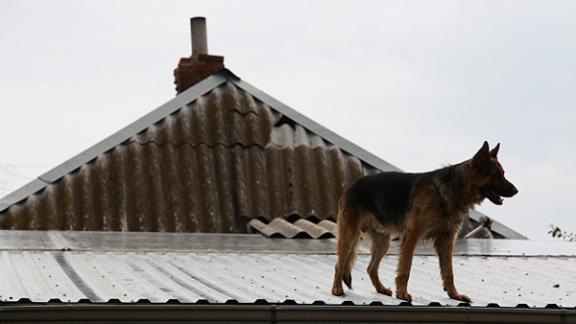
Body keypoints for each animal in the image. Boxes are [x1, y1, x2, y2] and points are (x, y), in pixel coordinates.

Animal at [330, 140, 520, 302]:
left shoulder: (446, 241)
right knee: (339, 265)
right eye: (497, 174)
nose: (516, 191)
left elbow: (449, 272)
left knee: (371, 268)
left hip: (383, 242)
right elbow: (405, 268)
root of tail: (351, 186)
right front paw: (402, 293)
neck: (453, 188)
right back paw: (337, 289)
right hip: (349, 236)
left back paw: (381, 289)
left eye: (503, 174)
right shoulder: (412, 237)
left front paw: (454, 295)